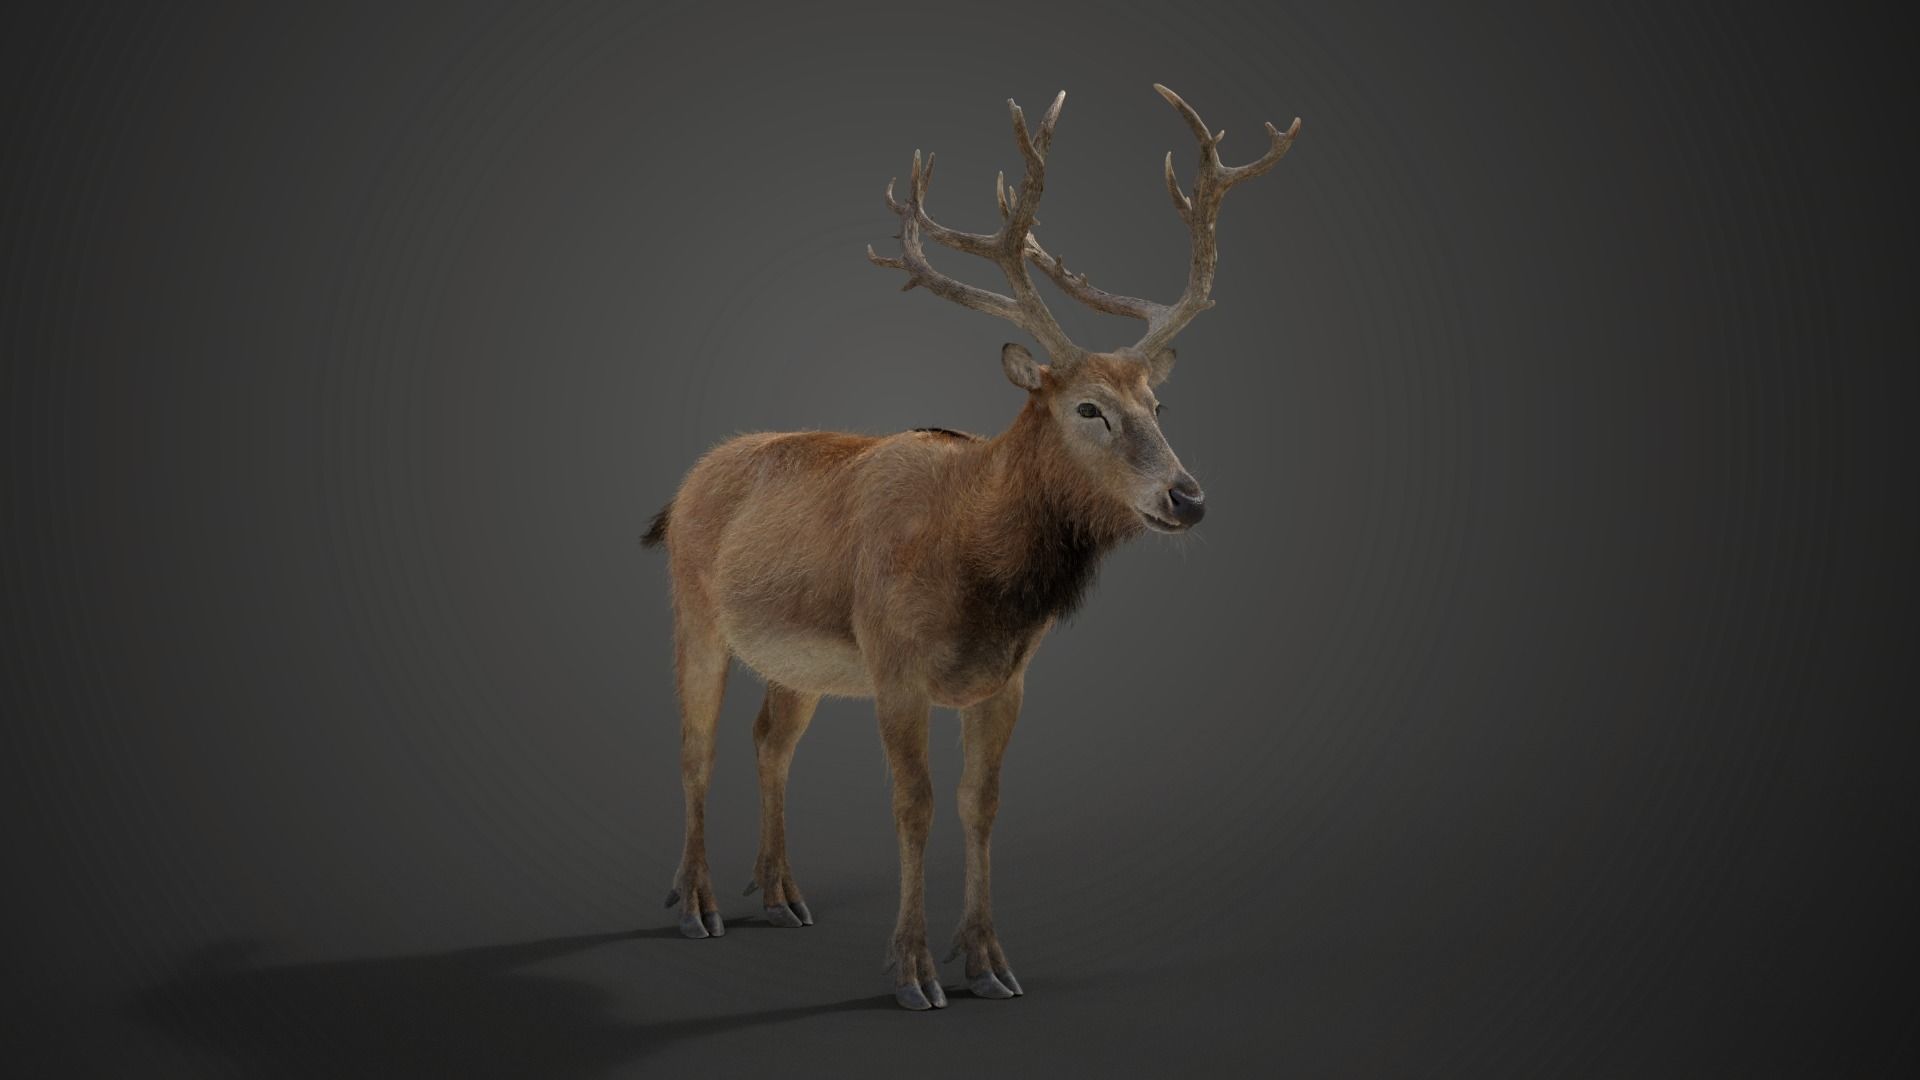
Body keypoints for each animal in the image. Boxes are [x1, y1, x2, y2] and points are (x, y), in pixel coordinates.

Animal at [642, 84, 1299, 1010]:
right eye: (1088, 408)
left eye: (1157, 406)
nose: (1188, 497)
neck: (975, 571)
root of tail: (682, 490)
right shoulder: (894, 663)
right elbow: (913, 805)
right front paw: (915, 971)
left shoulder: (1008, 678)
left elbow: (979, 804)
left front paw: (988, 961)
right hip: (695, 611)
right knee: (693, 747)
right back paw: (696, 903)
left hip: (796, 663)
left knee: (770, 739)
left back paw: (781, 894)